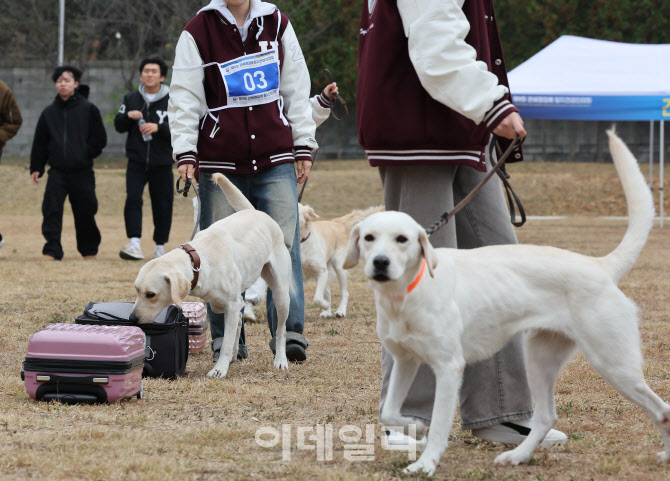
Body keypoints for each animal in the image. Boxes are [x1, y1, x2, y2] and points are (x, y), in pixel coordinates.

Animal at [129, 172, 292, 378]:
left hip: (281, 295)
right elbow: (232, 331)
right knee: (239, 320)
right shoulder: (223, 304)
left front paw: (219, 369)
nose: (132, 319)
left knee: (281, 330)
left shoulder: (231, 304)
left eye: (151, 294)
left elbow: (227, 342)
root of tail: (255, 212)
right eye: (136, 290)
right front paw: (227, 360)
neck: (197, 261)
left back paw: (280, 360)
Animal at [346, 129, 670, 474]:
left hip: (613, 363)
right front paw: (414, 427)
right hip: (540, 359)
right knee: (546, 417)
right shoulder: (406, 360)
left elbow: (439, 428)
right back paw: (518, 455)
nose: (380, 263)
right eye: (369, 238)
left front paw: (426, 464)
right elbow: (389, 411)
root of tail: (599, 265)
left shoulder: (448, 368)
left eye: (402, 239)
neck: (407, 294)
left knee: (662, 409)